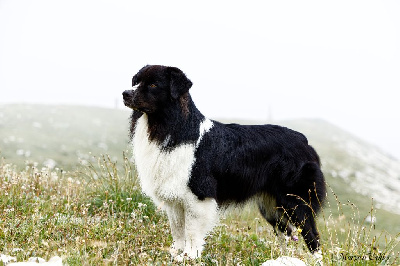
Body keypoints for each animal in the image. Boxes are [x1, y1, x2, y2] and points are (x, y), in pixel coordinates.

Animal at [123, 65, 326, 260]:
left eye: (153, 85)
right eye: (135, 81)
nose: (125, 93)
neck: (170, 126)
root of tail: (305, 142)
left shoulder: (198, 194)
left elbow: (191, 231)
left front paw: (190, 256)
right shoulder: (174, 196)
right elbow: (178, 229)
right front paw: (176, 253)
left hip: (295, 201)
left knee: (312, 236)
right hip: (271, 205)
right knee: (288, 233)